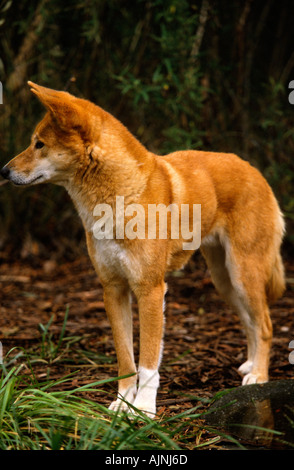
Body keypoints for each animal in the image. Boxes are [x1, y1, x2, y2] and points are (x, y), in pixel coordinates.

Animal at [0, 82, 284, 416]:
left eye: (39, 144)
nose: (4, 171)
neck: (119, 197)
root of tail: (255, 171)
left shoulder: (150, 290)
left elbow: (148, 361)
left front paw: (144, 410)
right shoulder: (113, 289)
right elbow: (126, 358)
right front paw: (122, 403)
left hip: (243, 273)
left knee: (265, 324)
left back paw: (259, 375)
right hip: (224, 281)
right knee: (251, 321)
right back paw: (251, 364)